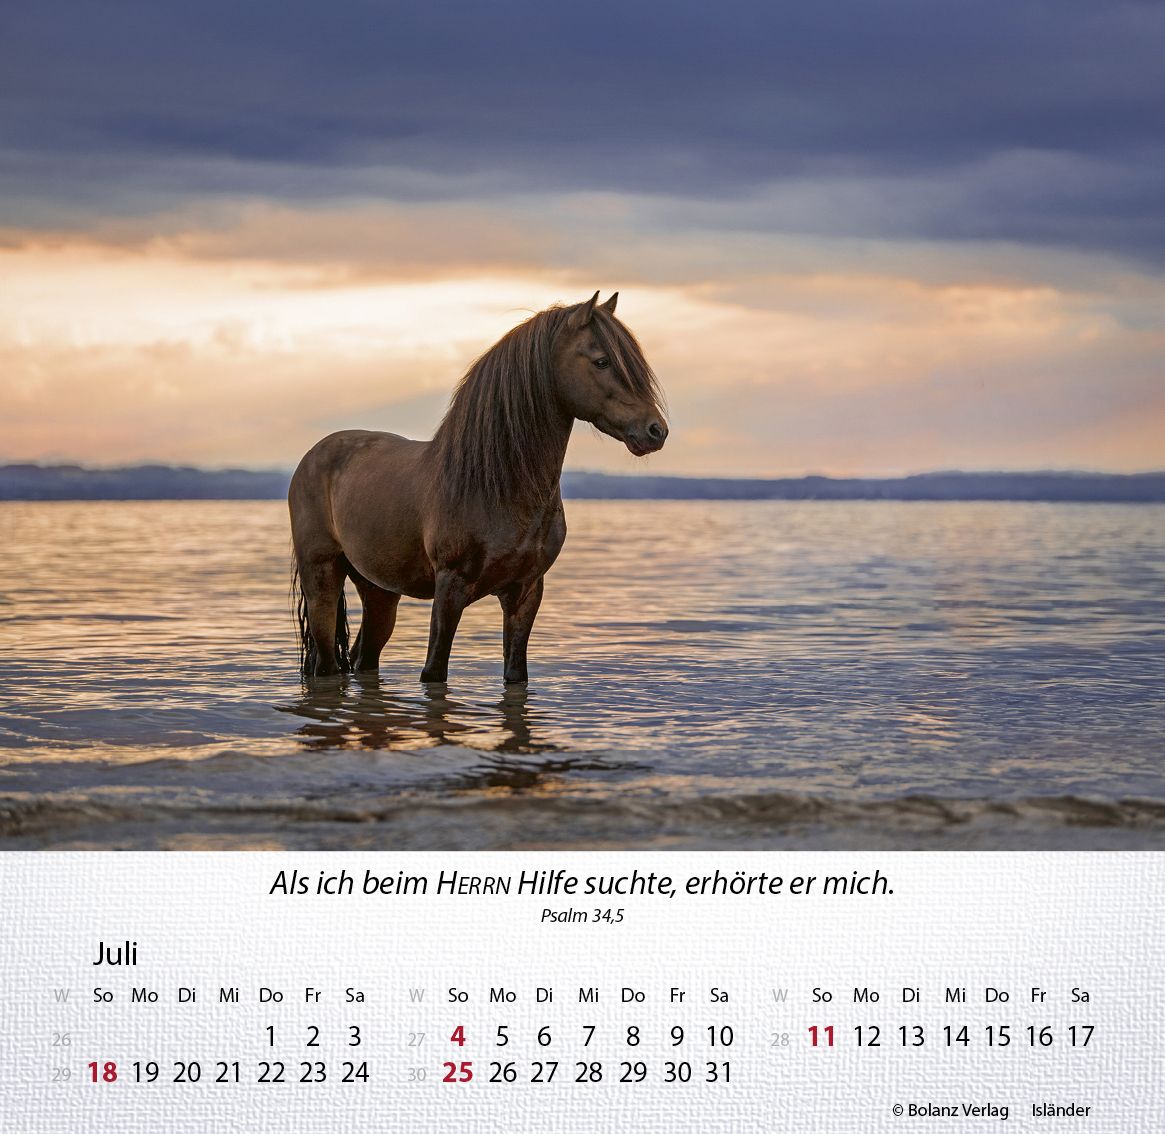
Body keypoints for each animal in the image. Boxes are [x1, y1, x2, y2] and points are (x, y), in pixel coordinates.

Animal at [289, 292, 668, 683]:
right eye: (602, 361)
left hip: (379, 590)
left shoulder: (525, 592)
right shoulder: (450, 588)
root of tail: (314, 455)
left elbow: (515, 672)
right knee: (327, 664)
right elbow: (434, 671)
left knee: (364, 656)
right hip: (322, 577)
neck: (498, 487)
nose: (656, 431)